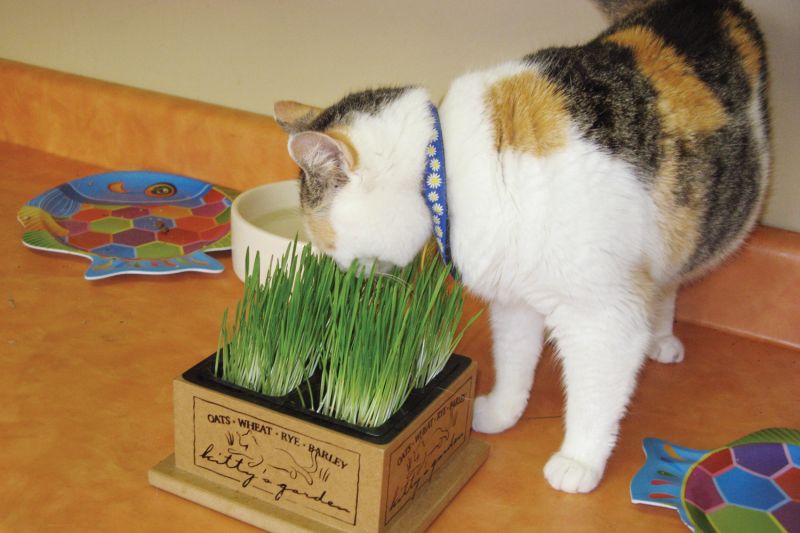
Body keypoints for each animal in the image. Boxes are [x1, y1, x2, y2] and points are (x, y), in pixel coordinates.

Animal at [274, 0, 768, 492]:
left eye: (324, 241)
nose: (329, 272)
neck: (446, 169)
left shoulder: (603, 317)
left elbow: (594, 396)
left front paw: (579, 462)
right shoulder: (513, 297)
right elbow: (514, 361)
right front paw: (499, 412)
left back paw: (658, 341)